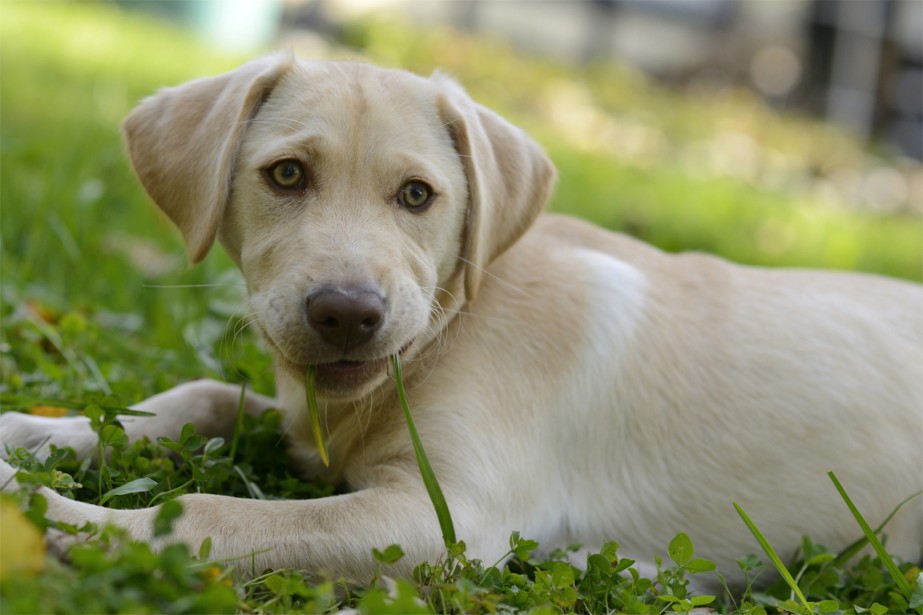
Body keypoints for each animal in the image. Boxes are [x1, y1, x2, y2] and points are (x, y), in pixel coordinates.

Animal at [1, 54, 923, 588]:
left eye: (417, 196)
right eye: (286, 175)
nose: (347, 315)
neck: (445, 328)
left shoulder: (443, 519)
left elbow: (215, 514)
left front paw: (62, 515)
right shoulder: (310, 427)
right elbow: (204, 397)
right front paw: (35, 435)